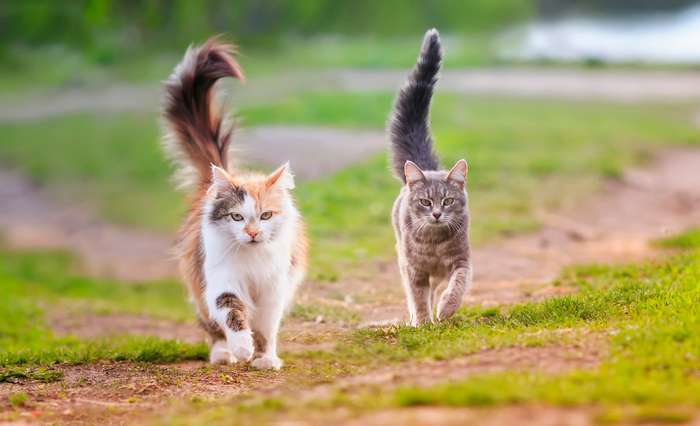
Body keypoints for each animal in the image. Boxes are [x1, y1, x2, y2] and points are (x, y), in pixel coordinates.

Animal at [165, 38, 308, 368]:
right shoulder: (222, 280)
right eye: (236, 217)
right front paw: (242, 348)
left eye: (266, 215)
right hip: (198, 281)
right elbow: (232, 312)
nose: (252, 233)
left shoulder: (274, 290)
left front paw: (266, 358)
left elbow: (267, 329)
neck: (252, 261)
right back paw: (222, 354)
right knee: (212, 326)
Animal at [388, 29, 470, 326]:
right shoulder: (414, 269)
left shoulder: (462, 261)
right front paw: (423, 322)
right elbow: (418, 297)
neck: (435, 244)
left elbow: (457, 285)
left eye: (447, 201)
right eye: (425, 202)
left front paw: (446, 308)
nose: (436, 214)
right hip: (401, 256)